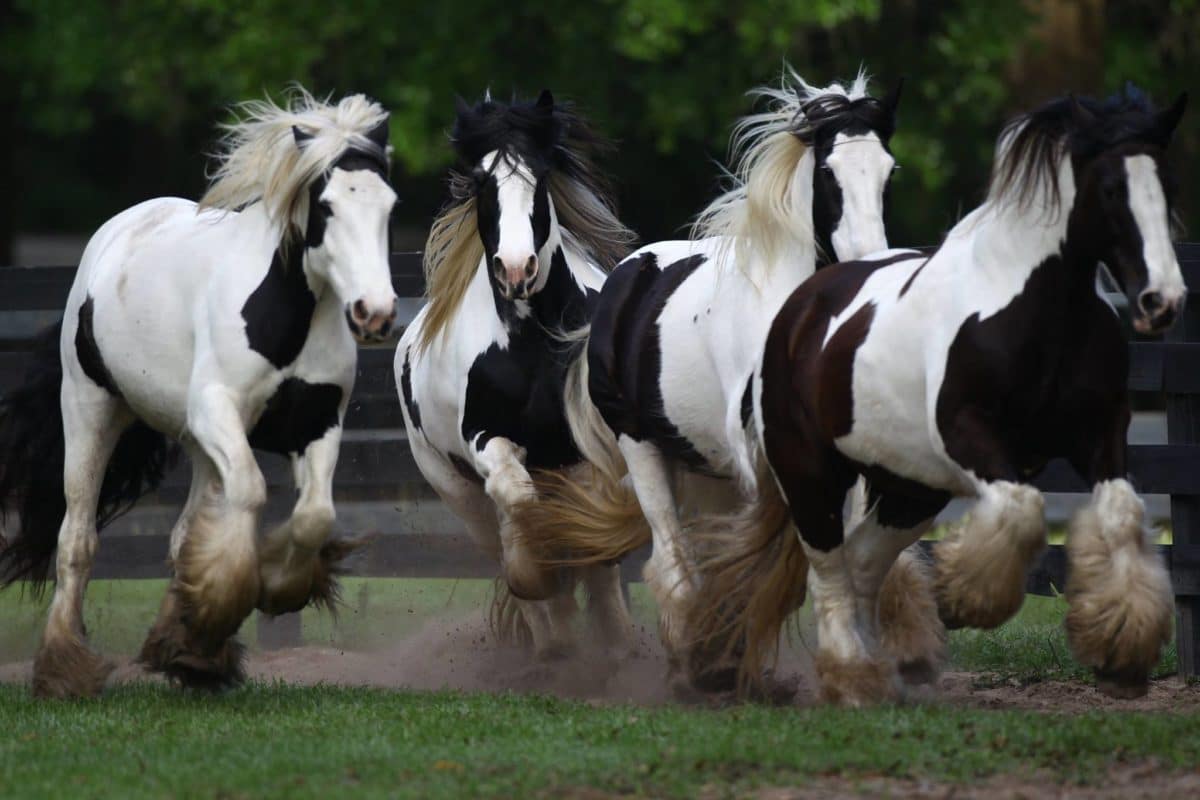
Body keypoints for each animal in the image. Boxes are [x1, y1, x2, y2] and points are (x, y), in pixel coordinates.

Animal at [0, 89, 398, 697]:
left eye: (389, 206)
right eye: (326, 206)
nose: (373, 313)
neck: (283, 314)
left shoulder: (317, 423)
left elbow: (314, 515)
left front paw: (266, 593)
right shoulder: (218, 412)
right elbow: (253, 494)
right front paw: (221, 608)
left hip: (196, 443)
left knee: (183, 533)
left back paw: (185, 651)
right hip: (92, 410)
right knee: (76, 541)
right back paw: (64, 667)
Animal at [394, 91, 639, 661]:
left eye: (541, 175)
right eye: (481, 181)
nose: (514, 268)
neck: (531, 346)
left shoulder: (586, 448)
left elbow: (593, 536)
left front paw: (614, 637)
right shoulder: (486, 437)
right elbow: (519, 506)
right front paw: (541, 585)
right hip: (459, 493)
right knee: (504, 531)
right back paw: (552, 641)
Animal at [511, 70, 937, 690]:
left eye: (889, 170)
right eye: (828, 172)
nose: (866, 265)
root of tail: (624, 279)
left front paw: (902, 648)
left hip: (708, 469)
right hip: (644, 452)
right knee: (672, 560)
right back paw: (696, 660)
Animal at [690, 86, 1189, 706]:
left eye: (1167, 184)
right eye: (1112, 188)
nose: (1161, 300)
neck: (1038, 311)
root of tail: (800, 307)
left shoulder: (1101, 432)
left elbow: (1121, 515)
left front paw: (1122, 646)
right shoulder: (967, 434)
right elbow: (1023, 509)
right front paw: (963, 599)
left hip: (907, 488)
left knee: (861, 561)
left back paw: (880, 670)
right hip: (810, 473)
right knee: (828, 568)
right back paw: (851, 676)